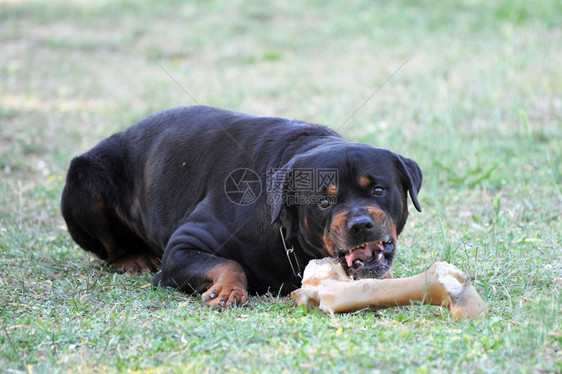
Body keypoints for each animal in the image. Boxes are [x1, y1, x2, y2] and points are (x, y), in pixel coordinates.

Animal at [61, 104, 420, 306]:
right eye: (323, 201)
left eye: (378, 189)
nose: (360, 225)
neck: (284, 230)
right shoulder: (181, 247)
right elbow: (227, 263)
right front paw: (228, 289)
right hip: (84, 177)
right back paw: (132, 257)